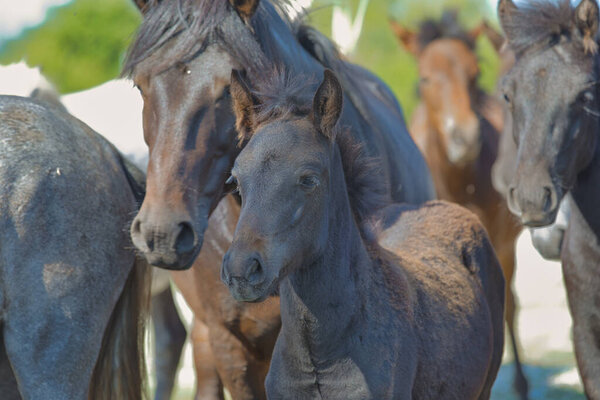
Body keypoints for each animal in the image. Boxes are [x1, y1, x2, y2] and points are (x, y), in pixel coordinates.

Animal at [392, 13, 528, 400]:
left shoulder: (500, 244)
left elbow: (507, 306)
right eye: (425, 77)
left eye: (475, 73)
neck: (461, 182)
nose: (464, 138)